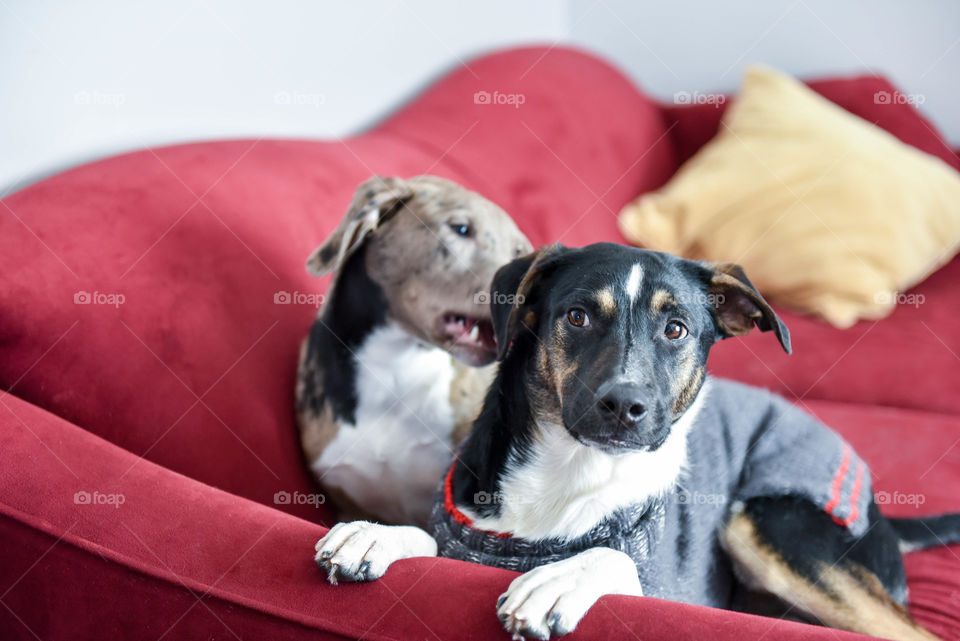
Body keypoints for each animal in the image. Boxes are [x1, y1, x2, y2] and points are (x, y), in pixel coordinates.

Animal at [316, 242, 960, 636]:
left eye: (676, 329)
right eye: (577, 316)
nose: (625, 406)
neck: (572, 471)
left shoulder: (678, 585)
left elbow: (616, 560)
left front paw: (562, 579)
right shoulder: (466, 530)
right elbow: (433, 539)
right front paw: (377, 535)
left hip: (768, 522)